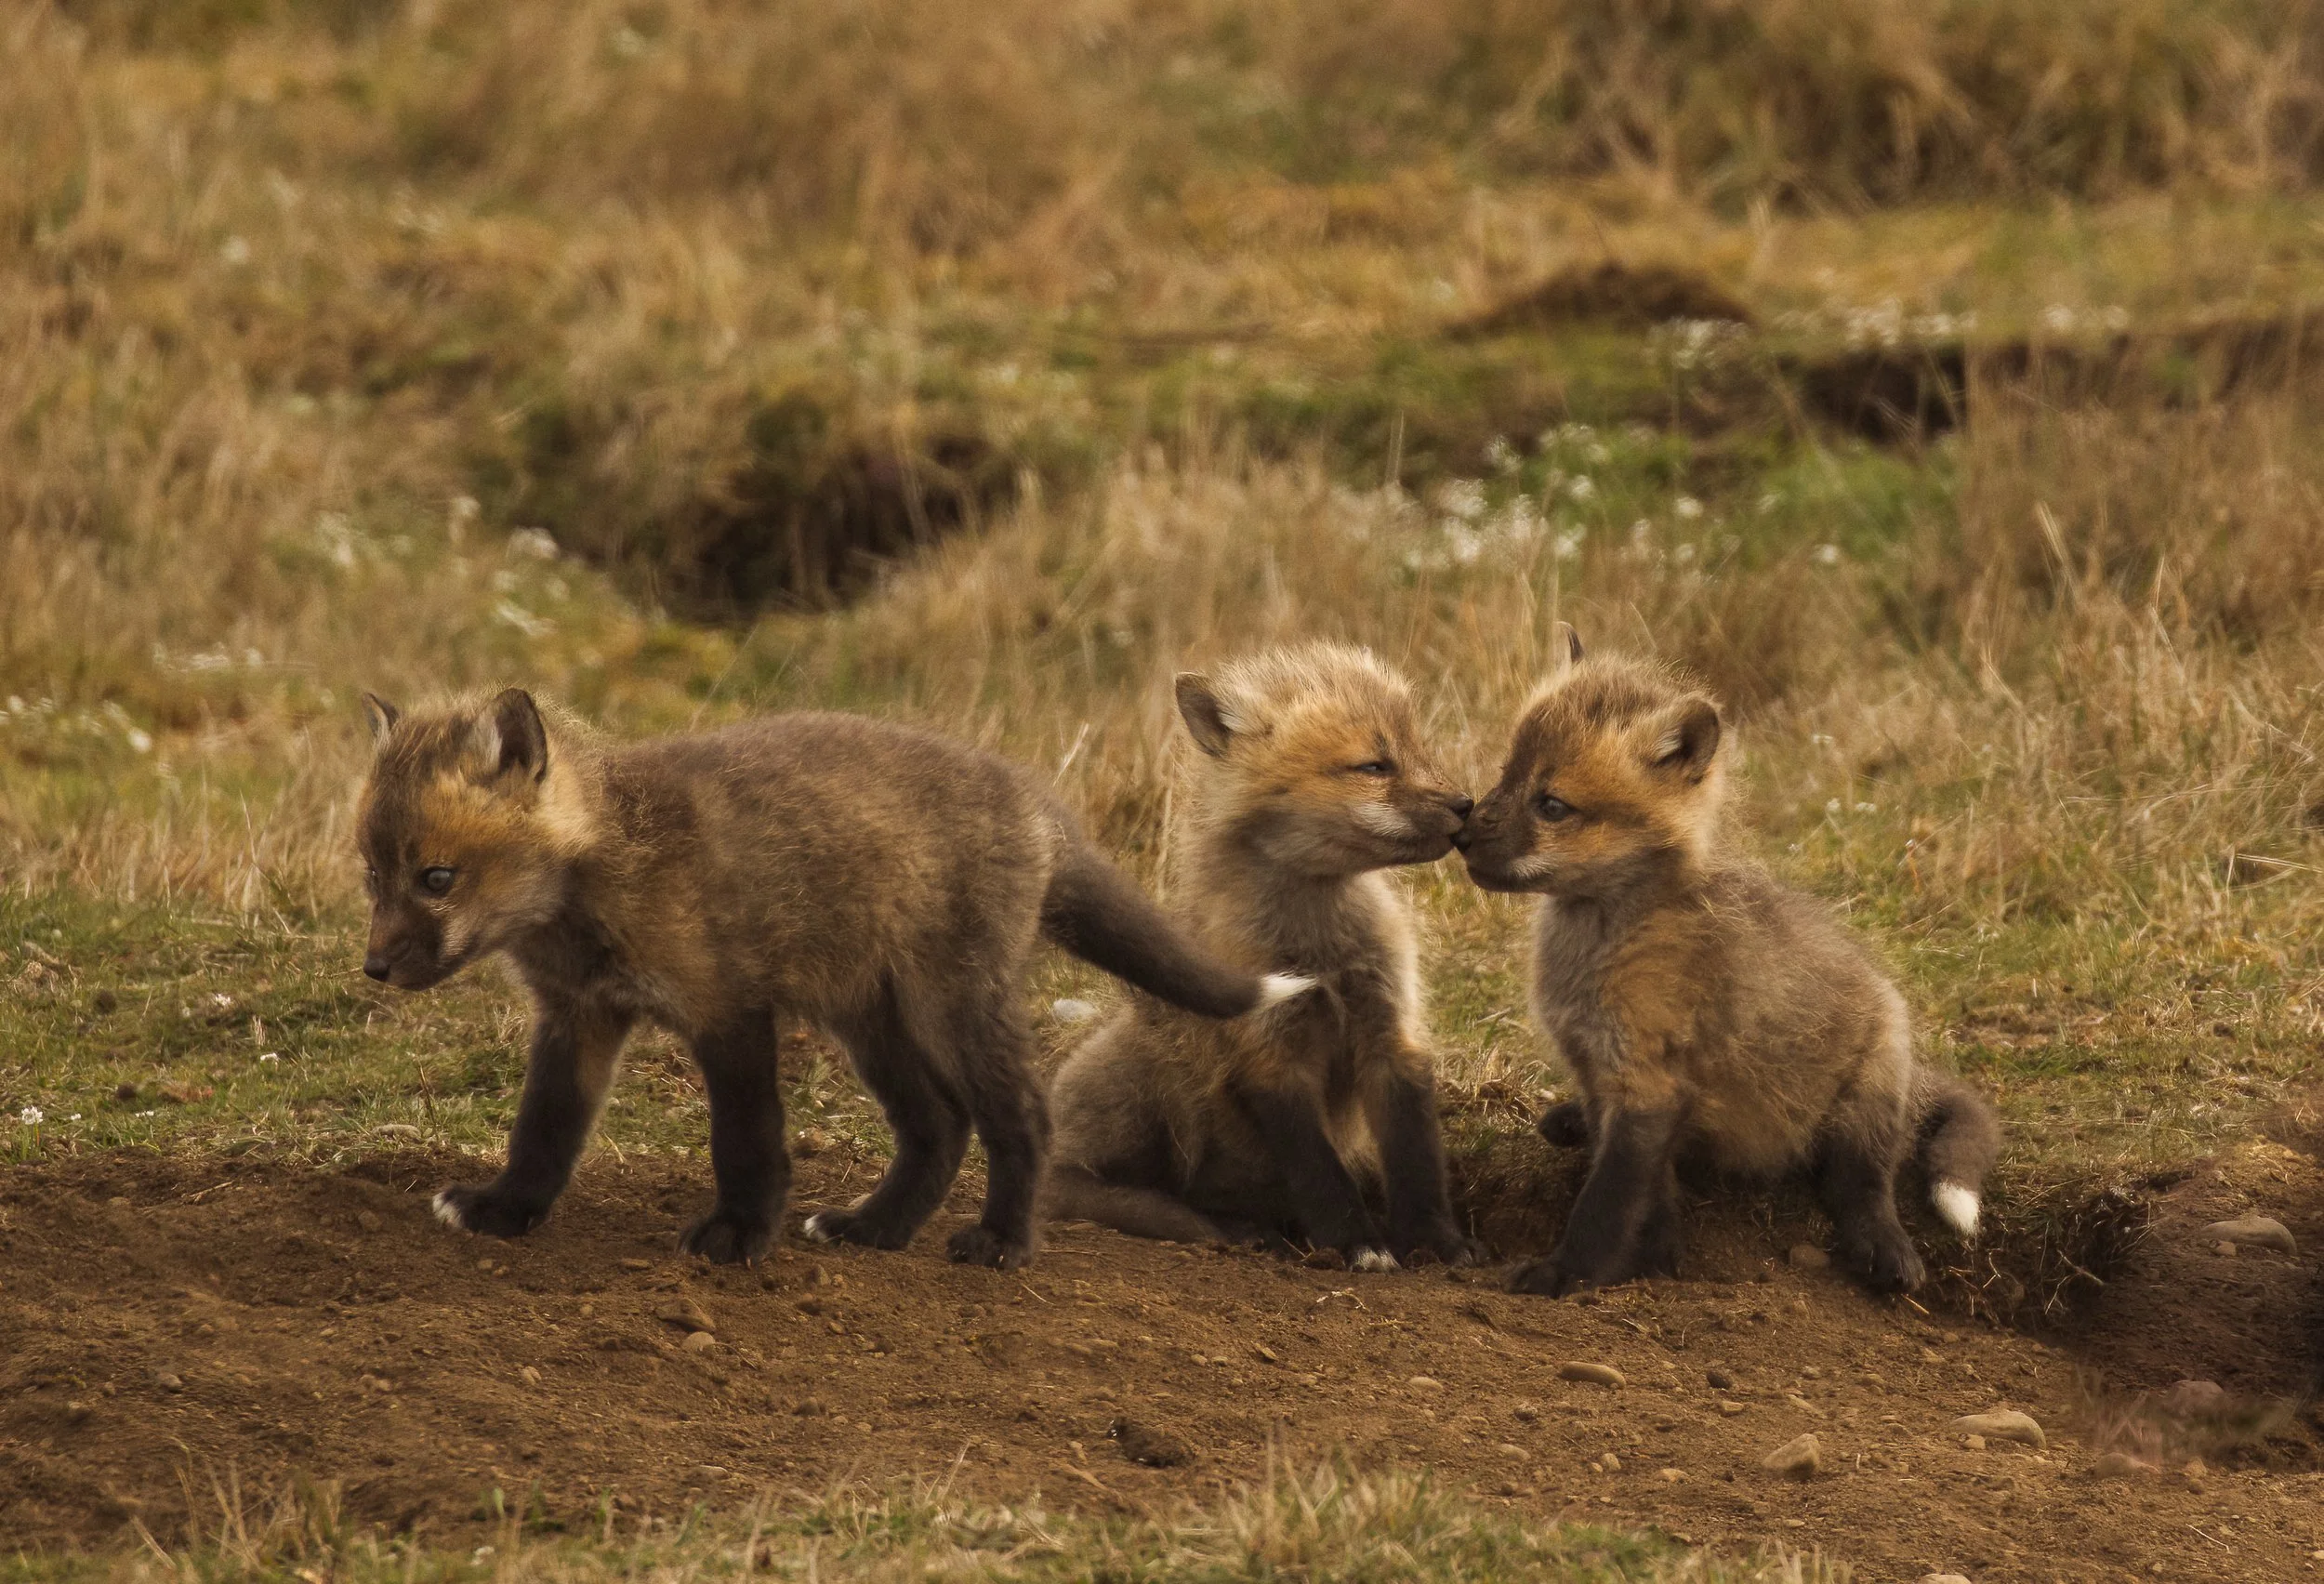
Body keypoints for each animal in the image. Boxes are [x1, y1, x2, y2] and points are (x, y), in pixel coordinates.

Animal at [353, 688, 1310, 1272]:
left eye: (437, 878)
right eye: (372, 875)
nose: (375, 968)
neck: (602, 874)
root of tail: (1037, 805)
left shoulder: (728, 1009)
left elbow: (746, 1142)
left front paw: (738, 1235)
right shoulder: (577, 1019)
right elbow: (542, 1134)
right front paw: (505, 1211)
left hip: (951, 1008)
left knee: (1019, 1117)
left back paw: (1001, 1242)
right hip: (871, 1023)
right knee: (940, 1125)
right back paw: (877, 1228)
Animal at [1044, 643, 1478, 1269]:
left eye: (1419, 751)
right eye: (1374, 767)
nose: (1469, 805)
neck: (1322, 950)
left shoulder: (1389, 1028)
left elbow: (1416, 1158)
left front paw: (1434, 1240)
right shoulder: (1271, 1051)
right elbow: (1320, 1173)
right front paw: (1356, 1242)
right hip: (1151, 1072)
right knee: (1113, 1189)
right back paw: (1236, 1228)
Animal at [1456, 629, 1999, 1296]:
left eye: (1552, 806)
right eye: (1506, 775)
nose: (1461, 834)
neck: (1603, 945)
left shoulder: (1647, 1083)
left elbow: (1607, 1204)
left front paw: (1573, 1272)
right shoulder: (1604, 1074)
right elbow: (1650, 1193)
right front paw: (1657, 1256)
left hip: (1870, 1091)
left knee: (1863, 1182)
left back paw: (1885, 1247)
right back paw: (1569, 1123)